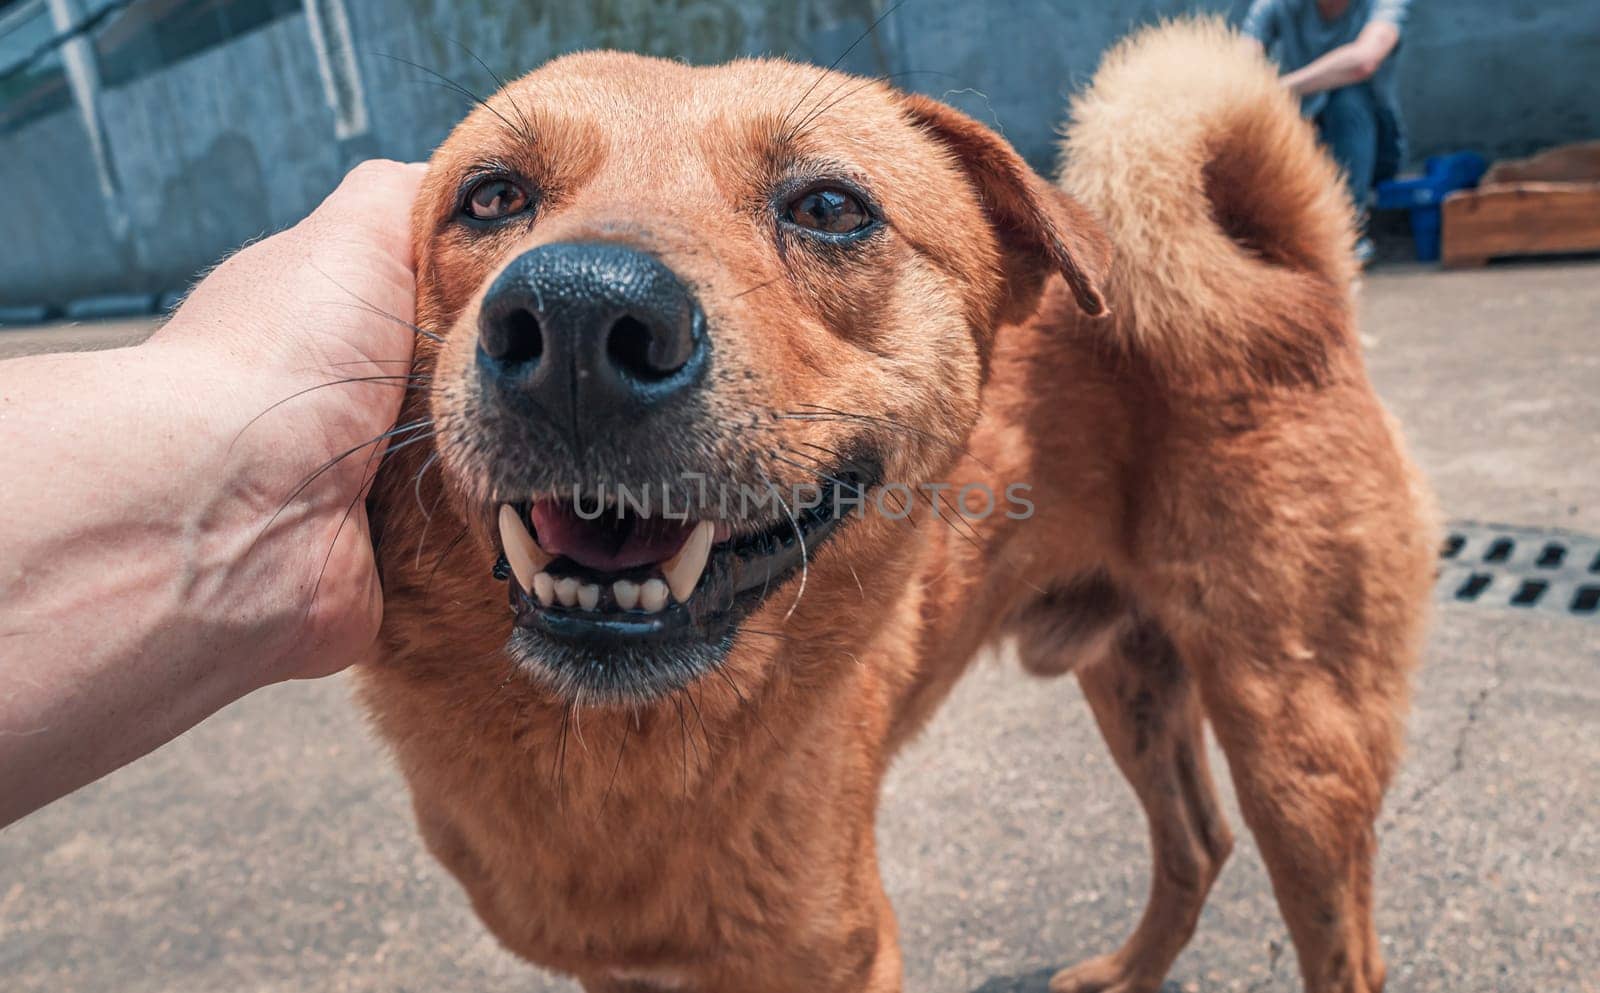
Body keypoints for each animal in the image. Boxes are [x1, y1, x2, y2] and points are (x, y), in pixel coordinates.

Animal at [360, 17, 1440, 991]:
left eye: (831, 207)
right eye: (493, 195)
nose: (579, 319)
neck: (623, 754)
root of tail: (1296, 284)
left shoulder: (840, 950)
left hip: (1298, 746)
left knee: (1344, 947)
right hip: (1134, 679)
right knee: (1198, 842)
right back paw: (1126, 972)